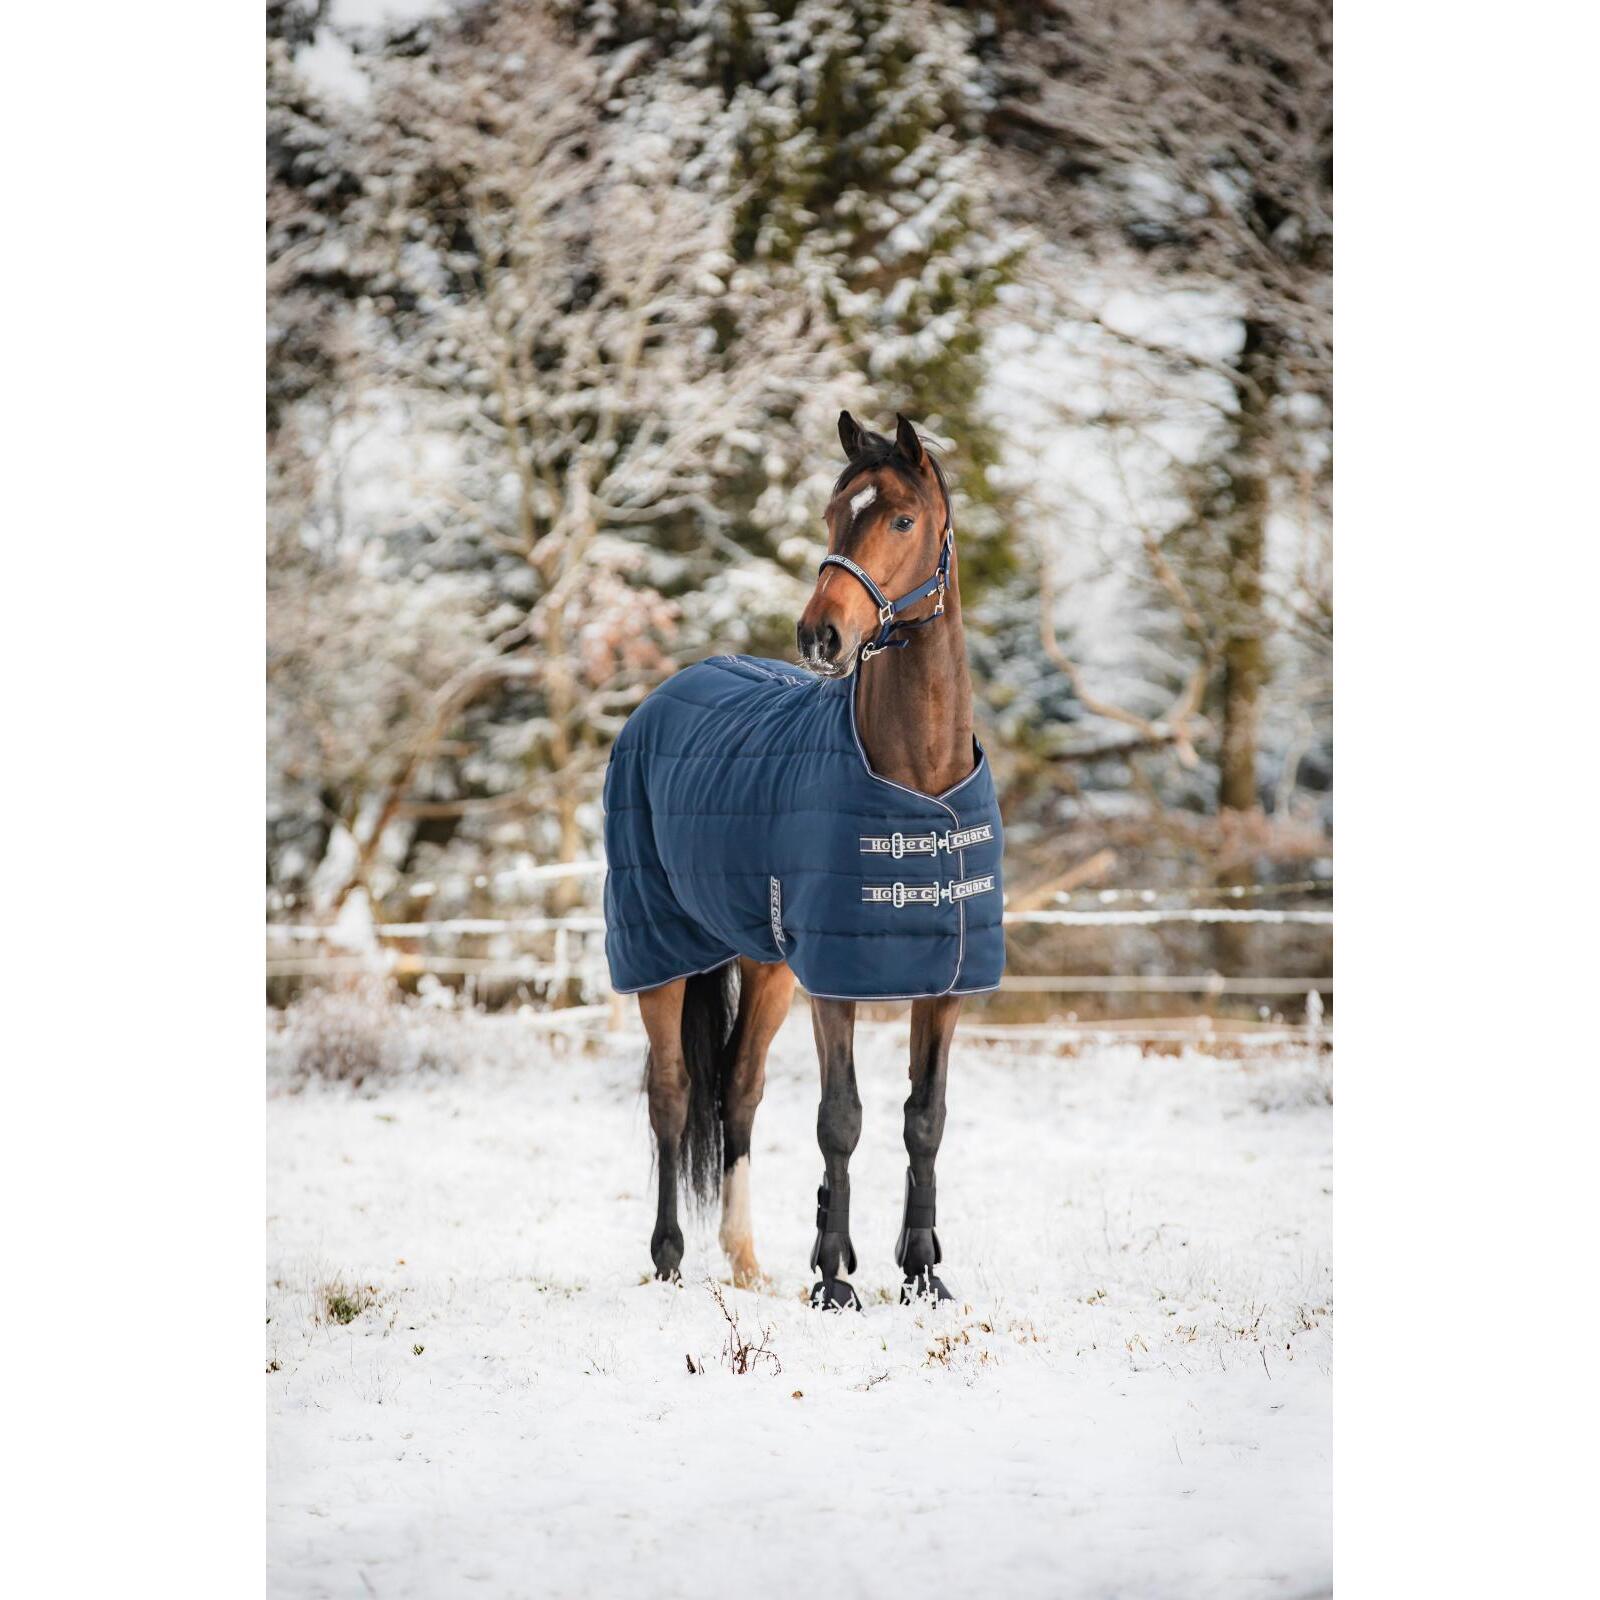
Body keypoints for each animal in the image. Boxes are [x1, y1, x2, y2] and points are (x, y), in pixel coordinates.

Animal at [601, 411, 1003, 1308]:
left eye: (901, 519)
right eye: (829, 516)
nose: (820, 634)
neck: (919, 786)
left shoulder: (946, 984)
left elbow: (926, 1118)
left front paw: (921, 1272)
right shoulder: (836, 982)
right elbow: (840, 1117)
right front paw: (834, 1280)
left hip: (765, 963)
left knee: (738, 1092)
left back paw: (745, 1260)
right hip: (658, 951)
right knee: (673, 1096)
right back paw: (670, 1258)